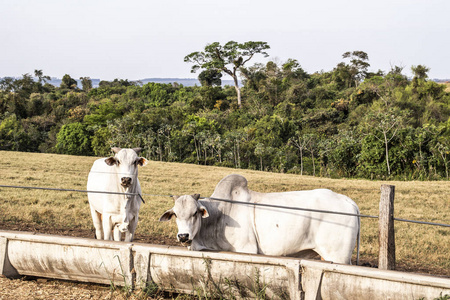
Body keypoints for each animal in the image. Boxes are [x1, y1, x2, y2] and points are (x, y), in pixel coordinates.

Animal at [160, 175, 360, 264]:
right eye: (176, 214)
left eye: (195, 212)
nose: (183, 236)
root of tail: (348, 201)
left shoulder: (246, 249)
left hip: (339, 257)